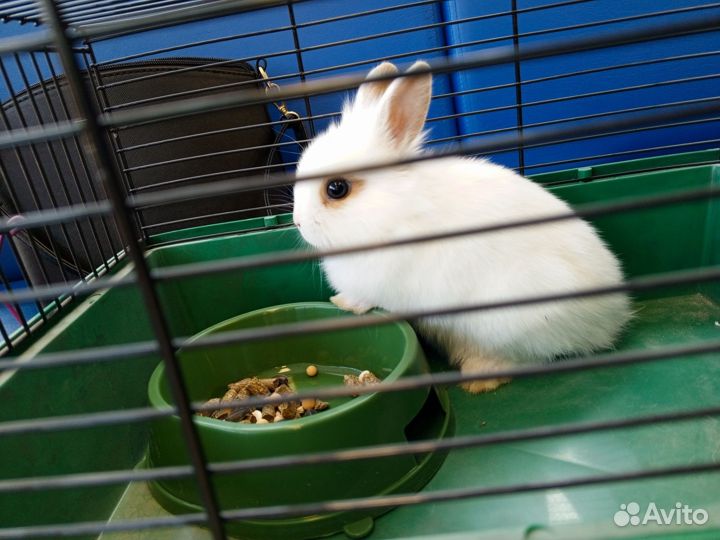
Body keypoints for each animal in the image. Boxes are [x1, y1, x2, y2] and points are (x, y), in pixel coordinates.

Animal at [293, 61, 632, 393]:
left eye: (337, 189)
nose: (298, 221)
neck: (394, 211)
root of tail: (612, 315)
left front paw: (343, 303)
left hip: (509, 321)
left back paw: (480, 378)